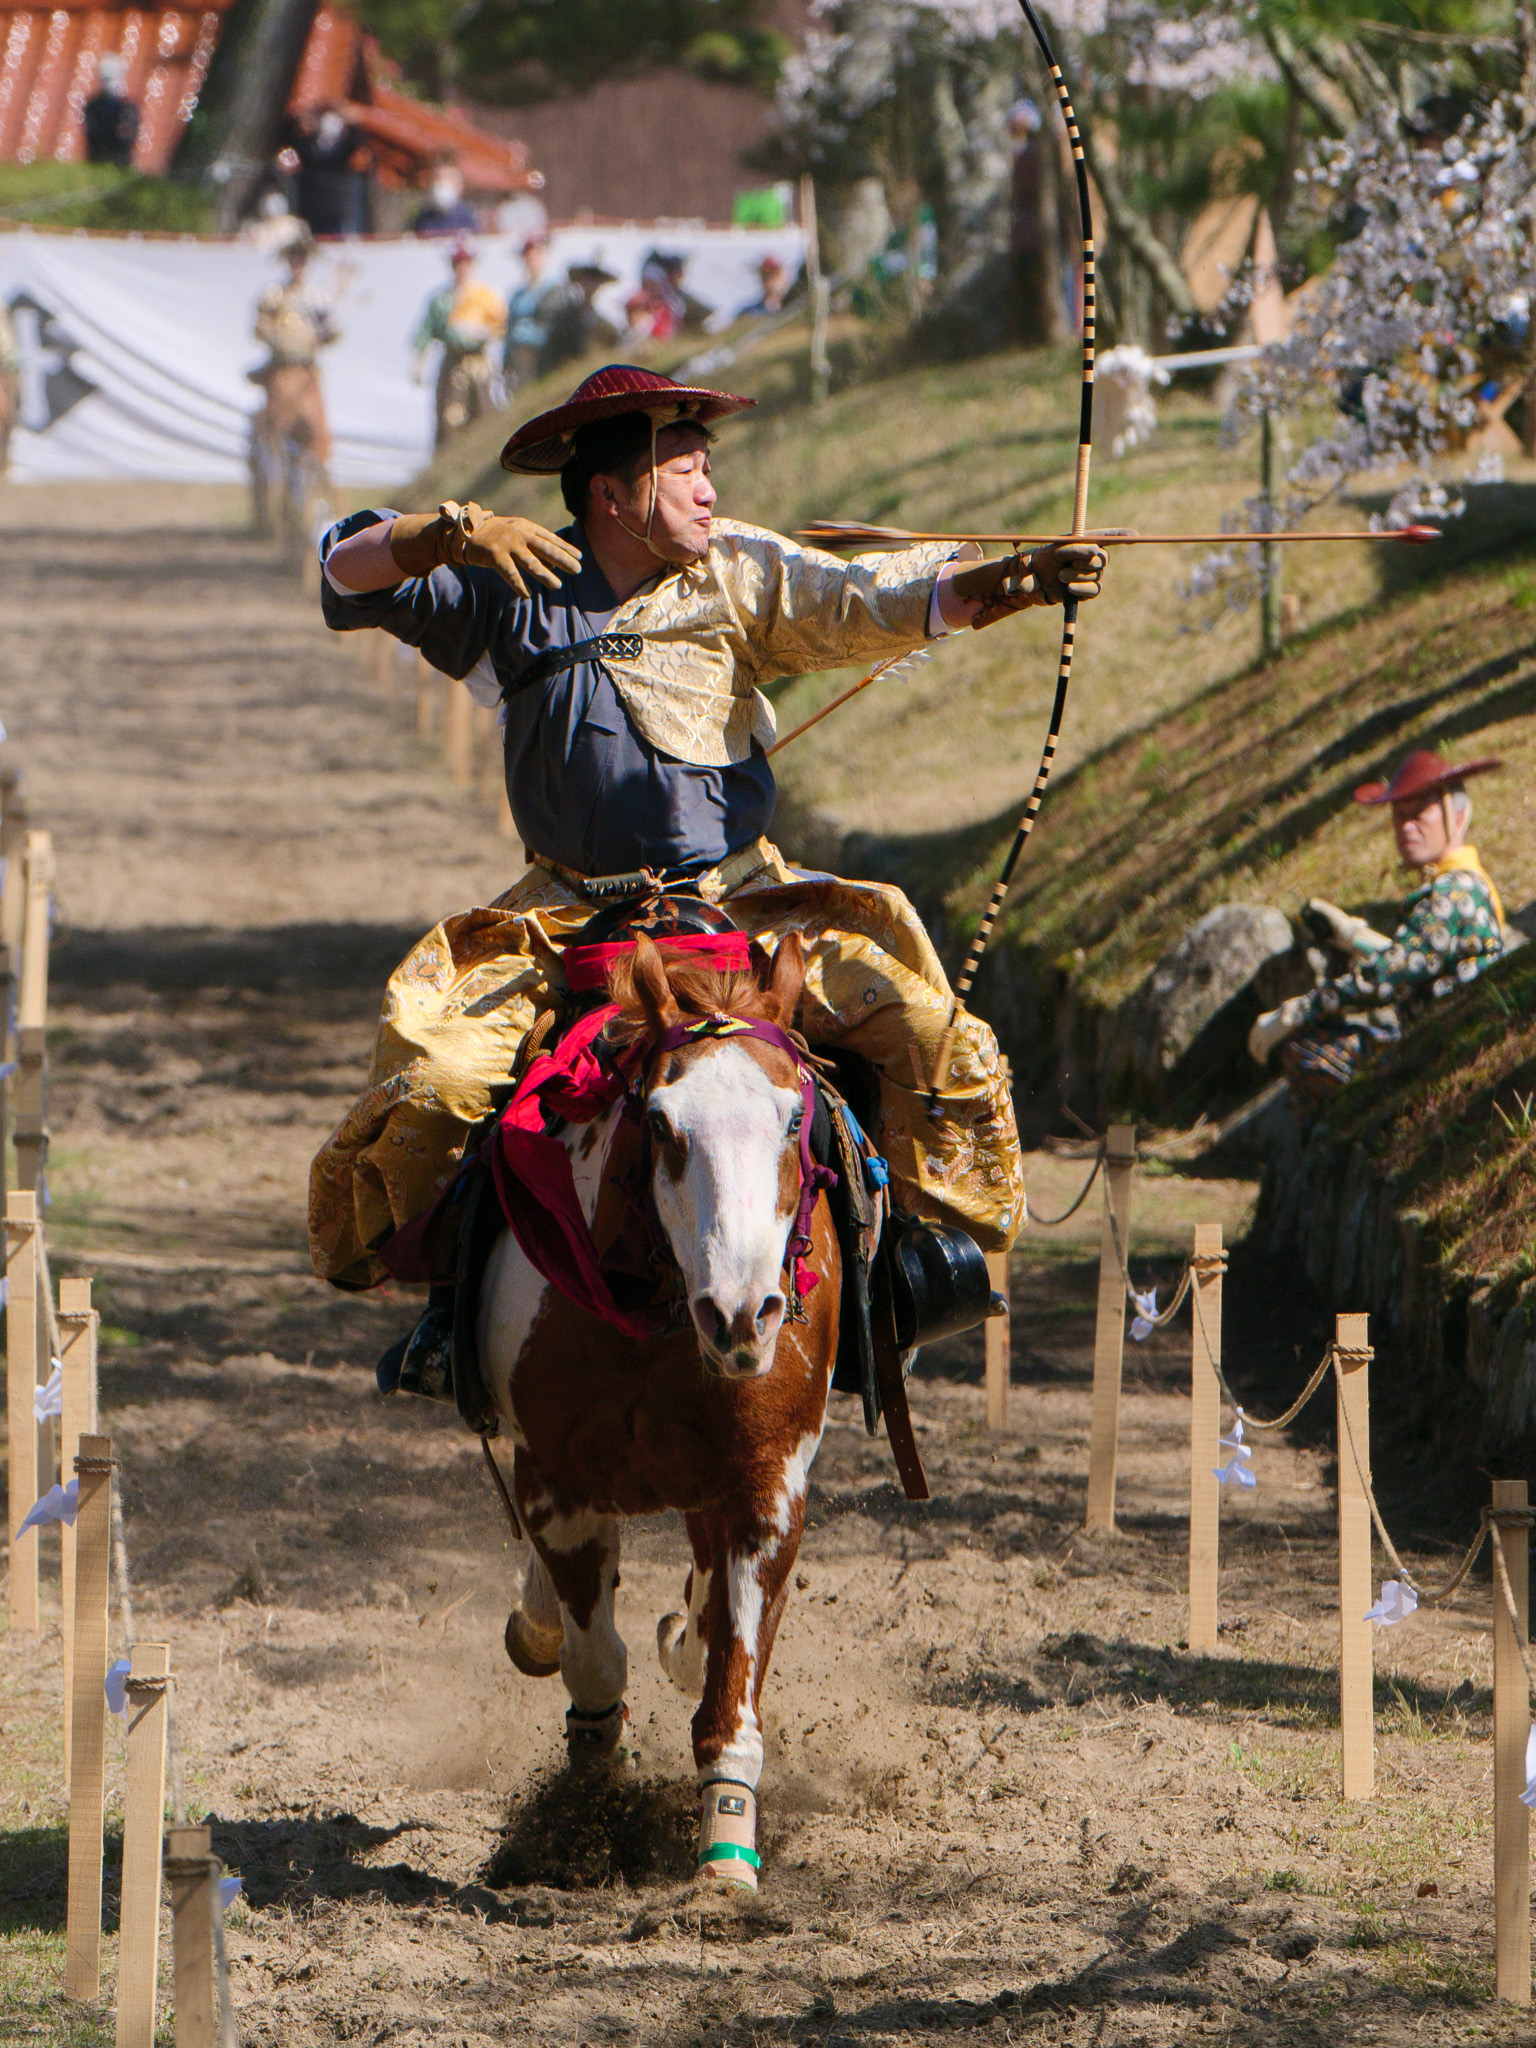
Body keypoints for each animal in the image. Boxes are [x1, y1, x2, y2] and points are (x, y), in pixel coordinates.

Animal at [481, 929, 843, 1884]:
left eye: (793, 1119)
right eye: (660, 1122)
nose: (743, 1312)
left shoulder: (766, 1486)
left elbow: (730, 1687)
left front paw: (726, 1854)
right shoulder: (556, 1484)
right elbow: (594, 1665)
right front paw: (589, 1808)